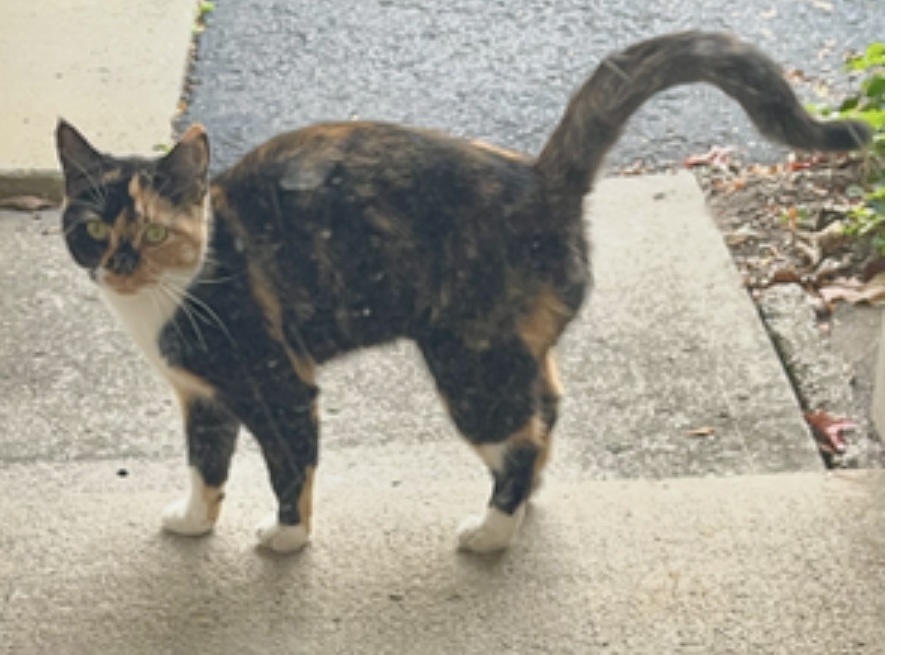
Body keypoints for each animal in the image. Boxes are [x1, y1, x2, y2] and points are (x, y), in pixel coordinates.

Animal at [55, 31, 870, 554]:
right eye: (94, 226)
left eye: (153, 230)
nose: (121, 262)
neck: (173, 295)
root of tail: (541, 180)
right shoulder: (203, 397)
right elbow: (207, 463)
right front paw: (195, 522)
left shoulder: (279, 384)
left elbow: (290, 465)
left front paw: (286, 538)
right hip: (507, 351)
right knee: (547, 409)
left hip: (470, 364)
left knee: (522, 438)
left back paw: (491, 532)